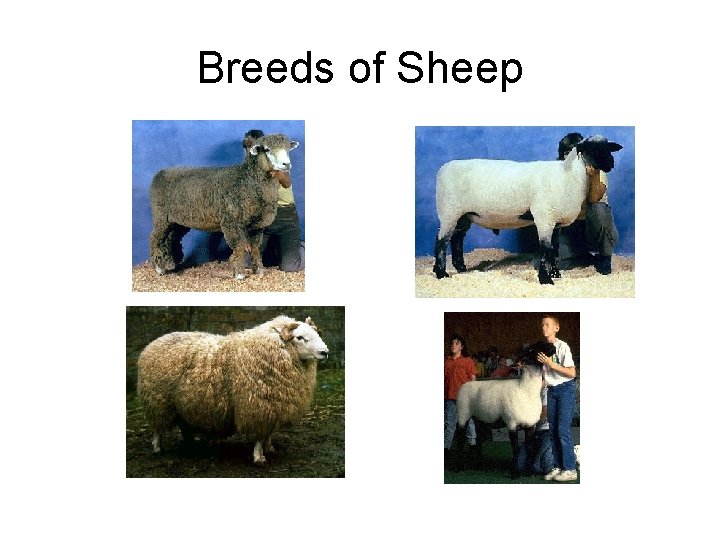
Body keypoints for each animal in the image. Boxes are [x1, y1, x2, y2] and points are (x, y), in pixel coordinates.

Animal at [136, 315, 328, 466]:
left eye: (316, 334)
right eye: (300, 337)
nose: (324, 352)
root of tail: (152, 344)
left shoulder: (273, 407)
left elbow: (268, 433)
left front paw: (270, 448)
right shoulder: (256, 407)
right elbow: (259, 436)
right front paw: (259, 457)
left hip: (181, 404)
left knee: (184, 425)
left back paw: (191, 443)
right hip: (158, 402)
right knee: (158, 429)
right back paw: (157, 448)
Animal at [149, 133, 299, 280]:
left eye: (287, 148)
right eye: (267, 149)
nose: (286, 164)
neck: (245, 180)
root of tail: (160, 173)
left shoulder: (257, 225)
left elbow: (256, 248)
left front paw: (259, 271)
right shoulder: (230, 222)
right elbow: (239, 246)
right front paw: (239, 274)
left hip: (178, 221)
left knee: (171, 239)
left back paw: (171, 264)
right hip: (161, 217)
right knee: (155, 238)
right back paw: (159, 269)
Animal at [433, 135, 623, 284]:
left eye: (608, 148)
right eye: (591, 148)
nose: (611, 163)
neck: (567, 175)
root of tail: (442, 169)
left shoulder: (555, 222)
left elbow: (553, 249)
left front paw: (555, 273)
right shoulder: (544, 218)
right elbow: (546, 249)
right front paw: (545, 279)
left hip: (463, 216)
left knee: (456, 240)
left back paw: (460, 268)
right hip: (449, 212)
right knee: (441, 241)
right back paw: (441, 273)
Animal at [455, 341, 554, 476]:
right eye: (531, 349)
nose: (553, 347)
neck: (524, 390)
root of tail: (464, 385)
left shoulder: (530, 426)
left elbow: (529, 449)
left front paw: (529, 472)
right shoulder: (511, 423)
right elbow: (516, 449)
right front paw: (515, 473)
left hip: (481, 419)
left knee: (479, 440)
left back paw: (480, 466)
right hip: (463, 414)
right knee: (460, 440)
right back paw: (459, 467)